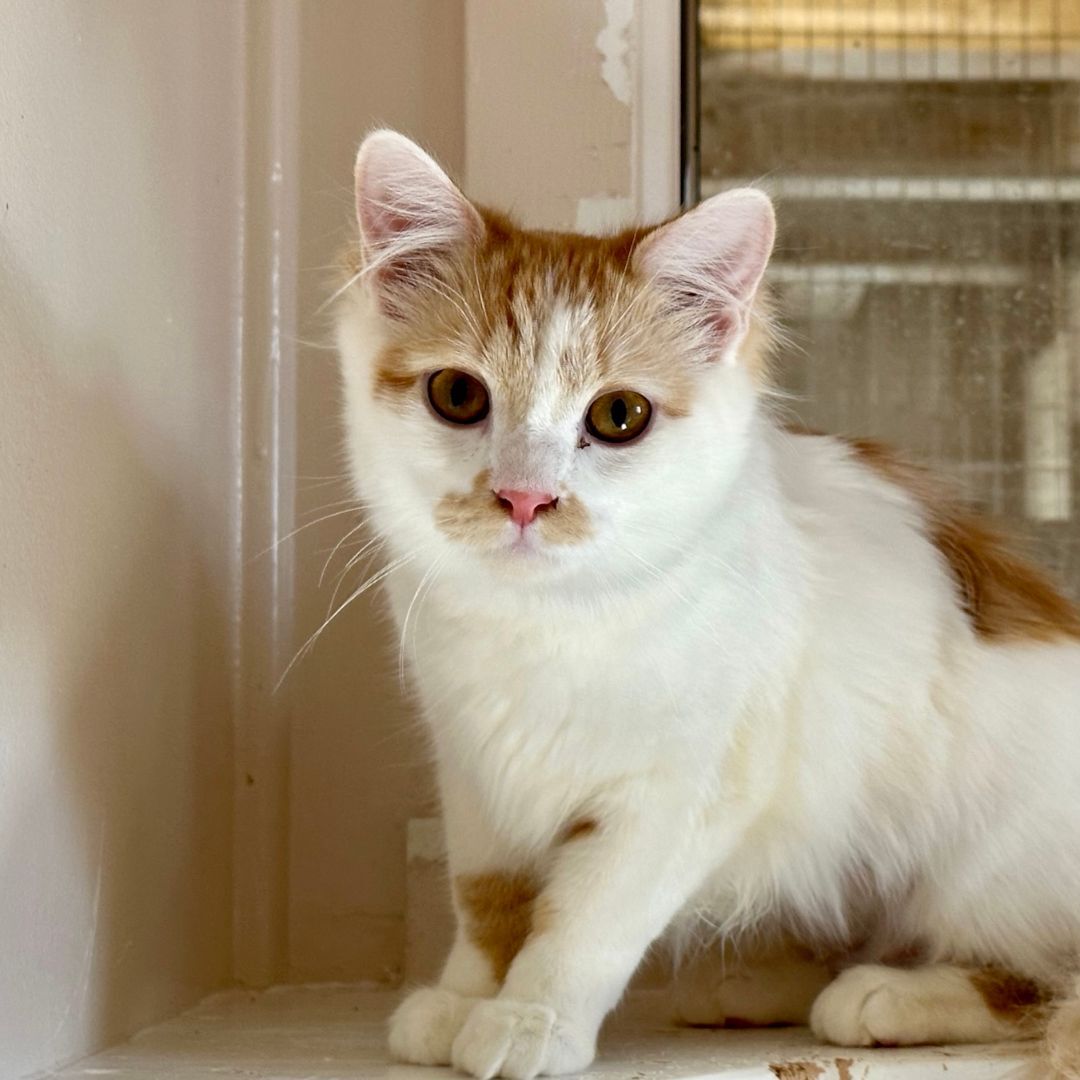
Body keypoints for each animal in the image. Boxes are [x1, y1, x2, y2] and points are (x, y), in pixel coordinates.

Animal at [332, 132, 1080, 1080]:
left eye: (619, 415)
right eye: (458, 397)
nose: (525, 499)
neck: (545, 625)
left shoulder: (683, 792)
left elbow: (585, 919)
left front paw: (530, 1020)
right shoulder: (473, 773)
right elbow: (488, 902)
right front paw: (466, 999)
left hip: (987, 866)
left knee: (1031, 979)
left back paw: (883, 996)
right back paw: (758, 988)